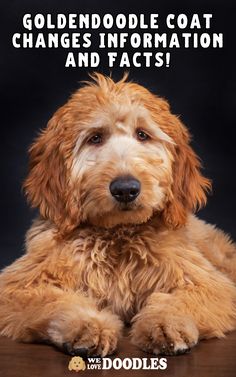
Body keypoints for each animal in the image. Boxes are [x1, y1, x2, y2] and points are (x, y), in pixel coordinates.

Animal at [0, 72, 236, 356]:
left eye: (143, 135)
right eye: (95, 138)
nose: (125, 189)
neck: (118, 235)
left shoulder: (211, 284)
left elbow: (181, 300)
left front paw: (165, 324)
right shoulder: (20, 285)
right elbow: (58, 300)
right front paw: (88, 326)